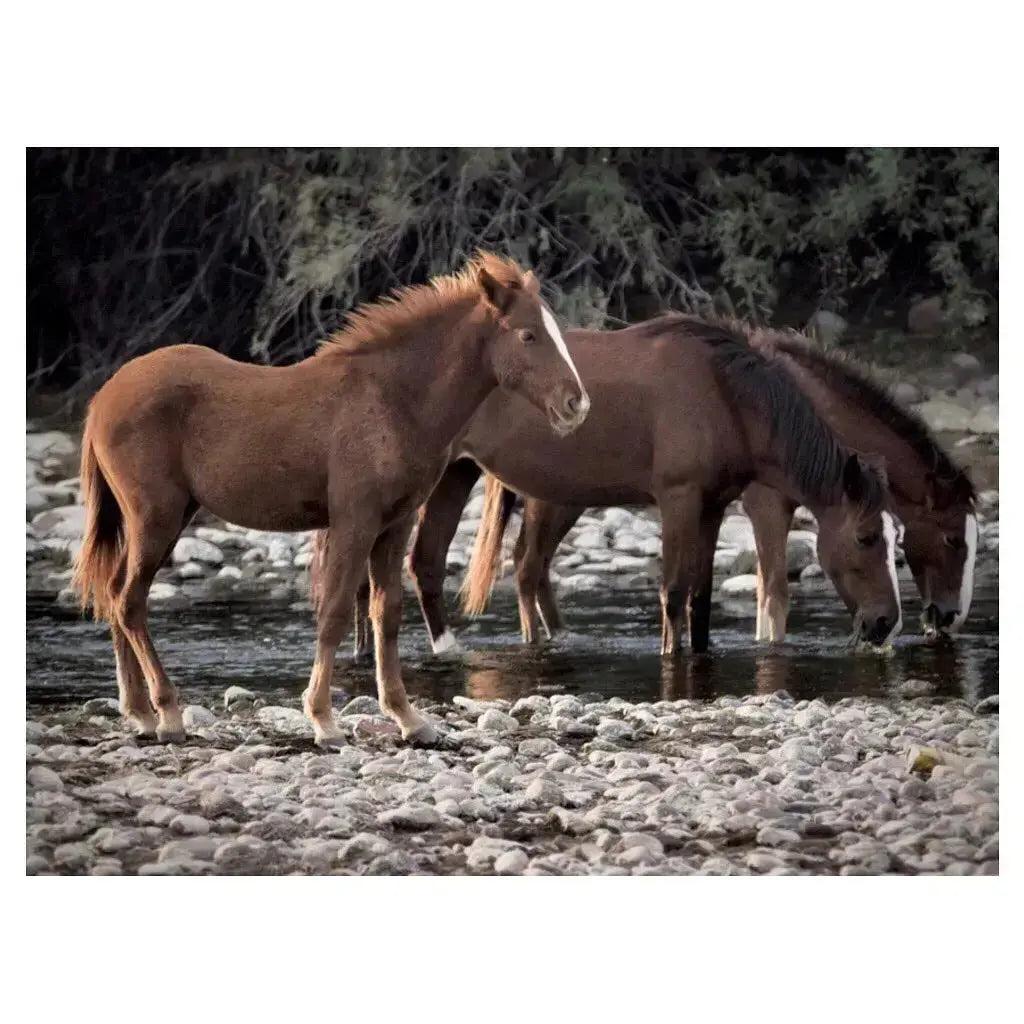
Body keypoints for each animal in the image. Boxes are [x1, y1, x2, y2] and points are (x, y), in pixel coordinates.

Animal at [72, 252, 590, 747]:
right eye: (527, 334)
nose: (576, 404)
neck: (395, 400)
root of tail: (102, 399)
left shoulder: (395, 523)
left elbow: (387, 613)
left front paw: (407, 717)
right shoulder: (353, 520)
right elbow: (336, 612)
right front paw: (323, 719)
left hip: (168, 517)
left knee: (115, 594)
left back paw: (139, 711)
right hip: (155, 518)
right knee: (128, 601)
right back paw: (168, 713)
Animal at [342, 315, 902, 657]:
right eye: (867, 537)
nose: (886, 623)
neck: (727, 396)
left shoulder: (713, 507)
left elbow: (700, 595)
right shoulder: (677, 499)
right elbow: (673, 591)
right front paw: (671, 658)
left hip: (457, 473)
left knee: (420, 565)